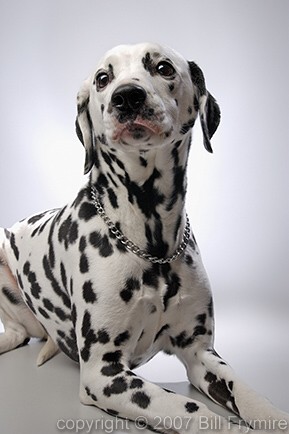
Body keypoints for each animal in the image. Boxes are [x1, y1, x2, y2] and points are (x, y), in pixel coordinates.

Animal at [0, 43, 288, 430]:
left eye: (164, 67)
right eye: (103, 78)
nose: (127, 97)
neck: (154, 244)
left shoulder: (200, 353)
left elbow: (247, 392)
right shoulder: (104, 373)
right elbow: (191, 408)